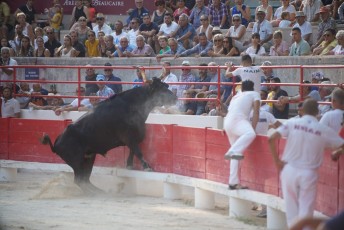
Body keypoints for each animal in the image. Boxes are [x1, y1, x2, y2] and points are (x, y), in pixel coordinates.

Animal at [41, 77, 177, 192]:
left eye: (166, 86)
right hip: (77, 161)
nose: (175, 98)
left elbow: (133, 150)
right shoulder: (128, 136)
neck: (132, 104)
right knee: (79, 180)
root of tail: (57, 143)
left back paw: (100, 191)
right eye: (161, 89)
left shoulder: (134, 137)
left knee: (85, 179)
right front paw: (147, 167)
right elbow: (138, 151)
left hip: (89, 158)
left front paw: (129, 165)